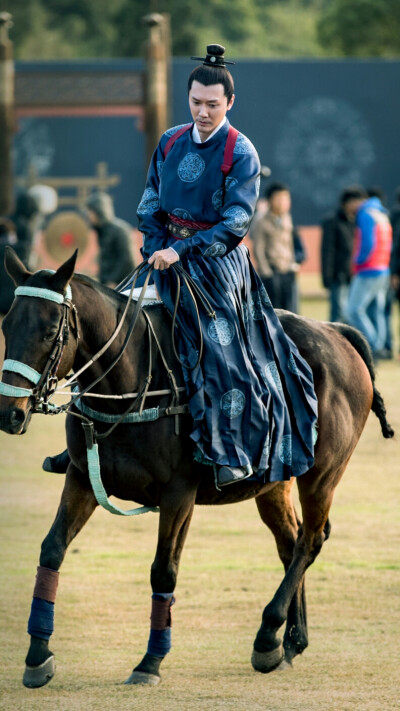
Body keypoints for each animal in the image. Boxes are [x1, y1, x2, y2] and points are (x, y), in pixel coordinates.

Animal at [0, 249, 394, 688]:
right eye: (6, 324)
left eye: (51, 331)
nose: (10, 413)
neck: (134, 383)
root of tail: (338, 332)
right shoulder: (83, 479)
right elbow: (52, 550)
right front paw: (38, 655)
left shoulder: (178, 495)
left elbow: (163, 571)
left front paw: (149, 662)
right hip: (275, 482)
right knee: (290, 542)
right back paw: (289, 641)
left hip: (322, 476)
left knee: (310, 540)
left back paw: (267, 633)